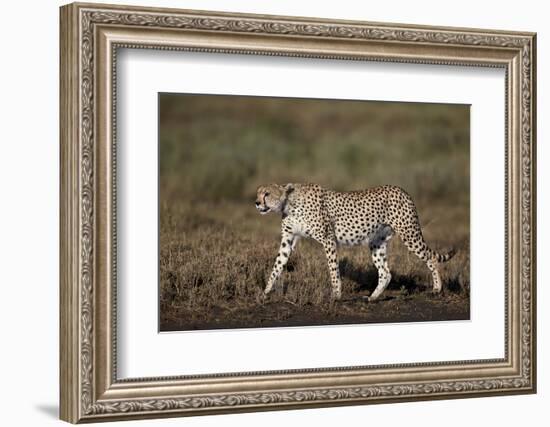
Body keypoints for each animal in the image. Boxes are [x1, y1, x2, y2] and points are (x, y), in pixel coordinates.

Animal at [258, 184, 458, 300]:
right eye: (258, 194)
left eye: (267, 194)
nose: (256, 203)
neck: (288, 203)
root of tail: (401, 190)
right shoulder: (288, 240)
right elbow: (277, 264)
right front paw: (266, 291)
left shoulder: (328, 239)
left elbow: (333, 269)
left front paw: (336, 295)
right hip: (377, 242)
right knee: (385, 272)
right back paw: (373, 297)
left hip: (409, 234)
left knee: (431, 258)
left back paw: (437, 289)